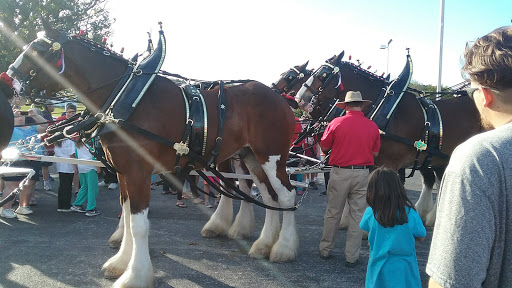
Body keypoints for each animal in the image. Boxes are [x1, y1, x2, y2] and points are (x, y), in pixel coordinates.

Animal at [7, 26, 300, 286]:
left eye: (38, 49)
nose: (9, 81)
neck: (126, 98)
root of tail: (279, 97)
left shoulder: (139, 171)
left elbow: (138, 225)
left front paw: (135, 276)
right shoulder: (124, 171)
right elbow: (127, 216)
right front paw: (121, 262)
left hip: (272, 157)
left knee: (286, 196)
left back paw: (283, 248)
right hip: (251, 157)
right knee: (268, 195)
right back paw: (263, 244)